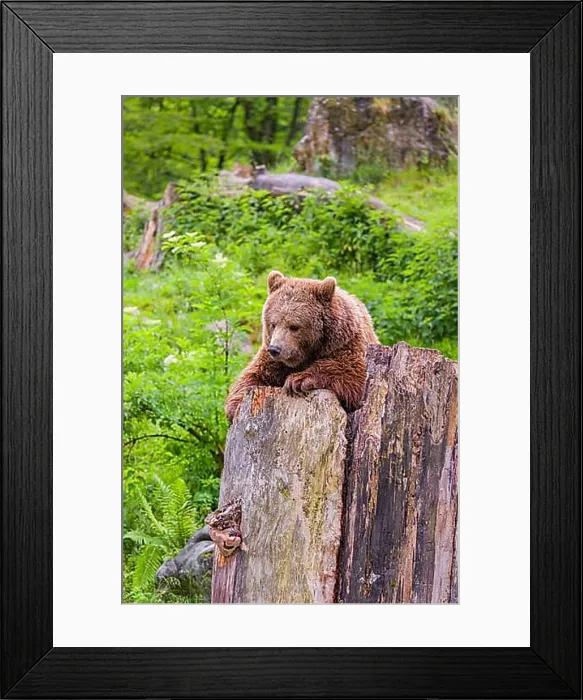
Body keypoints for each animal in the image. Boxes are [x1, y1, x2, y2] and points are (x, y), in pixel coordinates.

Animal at [225, 270, 378, 422]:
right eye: (273, 324)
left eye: (294, 326)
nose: (275, 349)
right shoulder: (272, 360)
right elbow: (253, 376)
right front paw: (236, 406)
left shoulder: (347, 343)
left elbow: (351, 373)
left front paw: (298, 380)